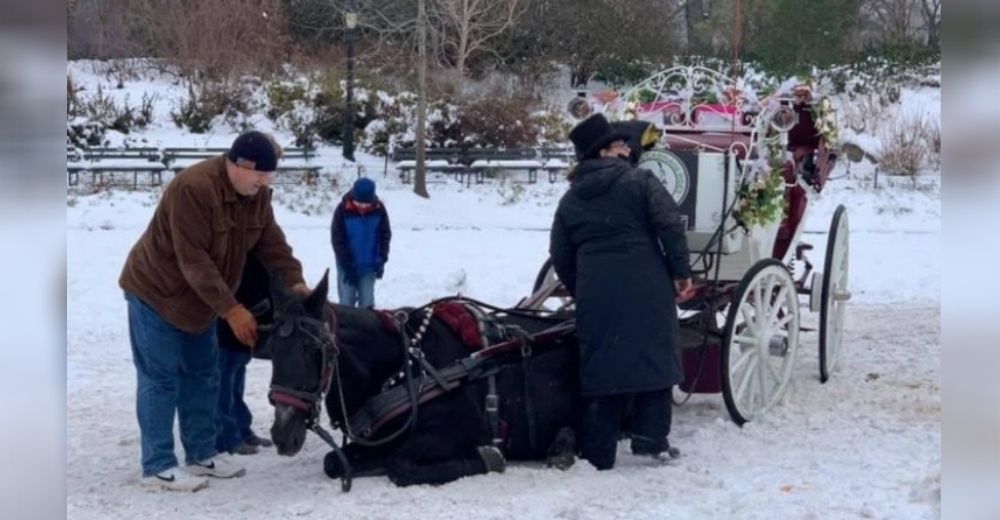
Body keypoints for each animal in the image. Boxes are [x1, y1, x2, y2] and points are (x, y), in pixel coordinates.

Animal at [262, 272, 584, 488]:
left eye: (313, 349)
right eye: (271, 350)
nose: (282, 434)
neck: (405, 367)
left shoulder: (455, 429)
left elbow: (399, 466)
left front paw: (485, 457)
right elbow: (333, 462)